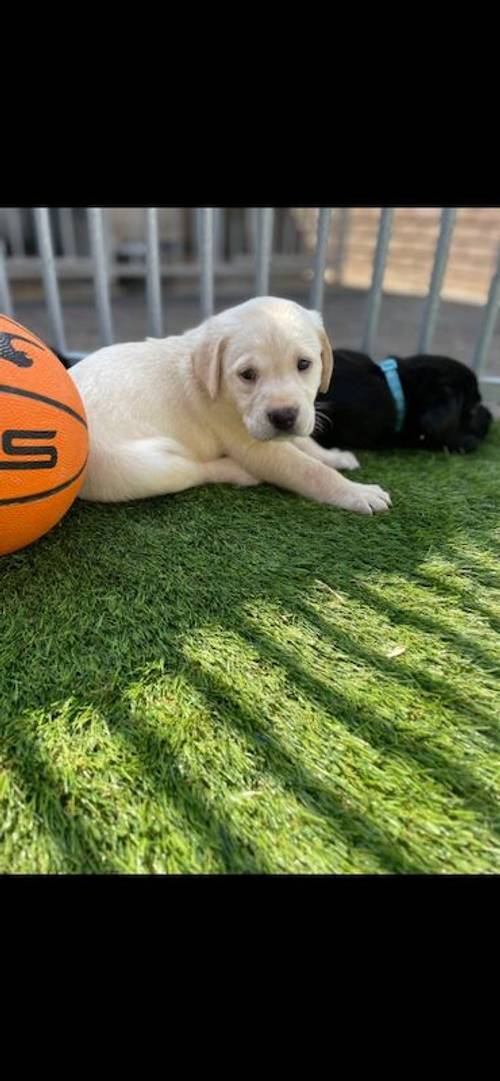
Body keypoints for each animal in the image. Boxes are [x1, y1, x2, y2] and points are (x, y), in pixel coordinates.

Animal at [70, 296, 390, 514]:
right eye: (247, 375)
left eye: (303, 364)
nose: (283, 417)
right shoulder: (255, 447)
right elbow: (310, 470)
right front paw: (358, 492)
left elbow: (306, 445)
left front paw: (334, 456)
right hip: (144, 468)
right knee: (195, 471)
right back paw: (238, 472)